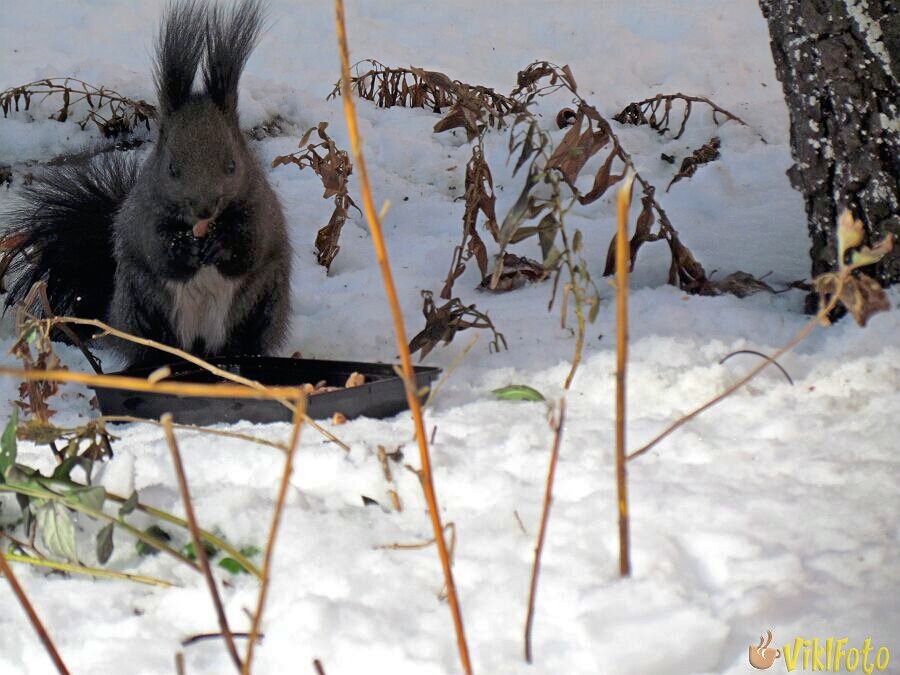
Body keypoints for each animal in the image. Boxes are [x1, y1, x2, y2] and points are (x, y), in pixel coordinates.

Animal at [0, 0, 288, 368]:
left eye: (232, 165)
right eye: (172, 168)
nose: (204, 208)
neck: (200, 227)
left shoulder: (260, 209)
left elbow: (250, 248)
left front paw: (221, 245)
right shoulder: (143, 214)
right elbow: (155, 248)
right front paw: (181, 248)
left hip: (263, 303)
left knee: (245, 336)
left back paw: (238, 359)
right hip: (142, 303)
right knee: (154, 340)